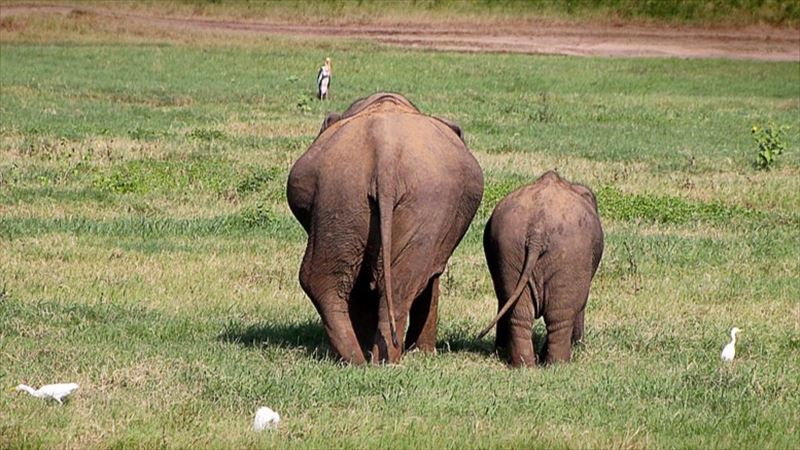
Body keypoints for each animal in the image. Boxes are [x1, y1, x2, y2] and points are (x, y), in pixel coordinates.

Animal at [288, 93, 482, 364]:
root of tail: (385, 153)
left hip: (344, 194)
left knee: (332, 279)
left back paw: (363, 358)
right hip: (371, 196)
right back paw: (376, 358)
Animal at [478, 171, 604, 368]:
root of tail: (537, 231)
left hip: (509, 248)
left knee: (518, 313)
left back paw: (524, 365)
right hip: (571, 255)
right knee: (560, 317)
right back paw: (558, 365)